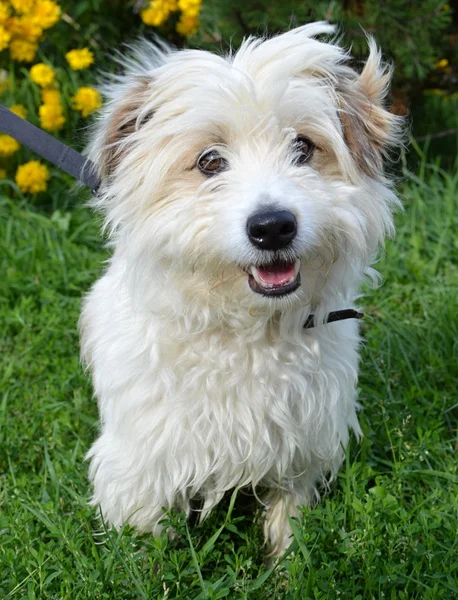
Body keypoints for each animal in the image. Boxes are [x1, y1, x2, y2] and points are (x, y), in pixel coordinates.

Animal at [80, 23, 402, 556]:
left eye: (303, 147)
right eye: (210, 161)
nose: (273, 227)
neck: (248, 330)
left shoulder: (302, 449)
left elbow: (289, 521)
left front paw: (287, 560)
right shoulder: (140, 462)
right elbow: (145, 548)